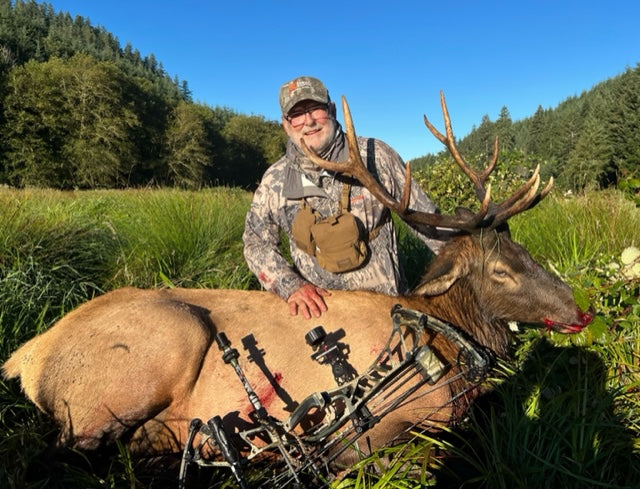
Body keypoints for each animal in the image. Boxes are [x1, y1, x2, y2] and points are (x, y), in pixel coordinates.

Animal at [2, 93, 593, 484]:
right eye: (500, 272)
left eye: (526, 252)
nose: (579, 310)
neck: (444, 340)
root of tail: (27, 356)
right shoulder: (381, 425)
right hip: (150, 355)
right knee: (59, 456)